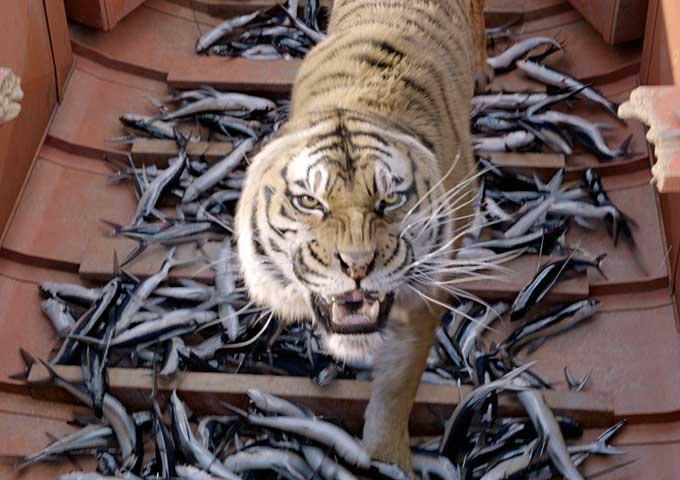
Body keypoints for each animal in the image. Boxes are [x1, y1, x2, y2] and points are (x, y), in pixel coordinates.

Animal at [234, 0, 488, 468]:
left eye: (391, 200)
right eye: (309, 201)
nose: (356, 264)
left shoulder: (425, 298)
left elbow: (399, 383)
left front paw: (388, 458)